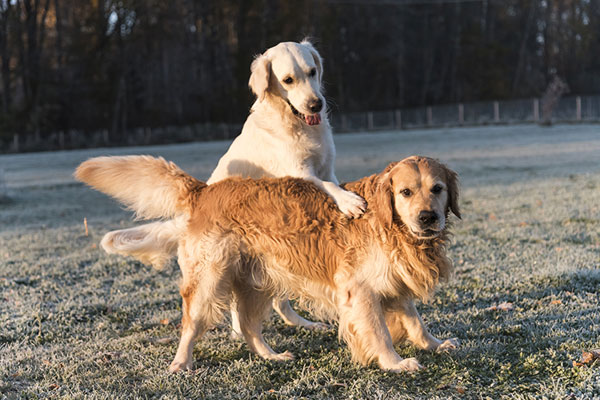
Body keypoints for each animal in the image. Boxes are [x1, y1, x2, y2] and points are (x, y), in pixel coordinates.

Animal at [75, 155, 460, 374]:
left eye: (437, 189)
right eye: (405, 192)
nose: (428, 218)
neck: (389, 225)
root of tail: (205, 190)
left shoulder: (396, 283)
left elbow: (415, 322)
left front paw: (434, 344)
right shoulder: (359, 291)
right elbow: (379, 332)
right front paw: (395, 363)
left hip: (255, 282)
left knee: (248, 327)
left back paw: (271, 357)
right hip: (208, 281)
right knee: (191, 326)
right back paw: (180, 364)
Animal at [99, 40, 366, 334]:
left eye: (312, 72)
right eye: (288, 80)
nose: (316, 104)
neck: (294, 123)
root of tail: (195, 202)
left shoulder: (326, 166)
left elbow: (333, 181)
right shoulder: (300, 171)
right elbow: (328, 185)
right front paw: (349, 202)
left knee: (278, 302)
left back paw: (305, 323)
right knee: (237, 306)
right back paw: (242, 331)